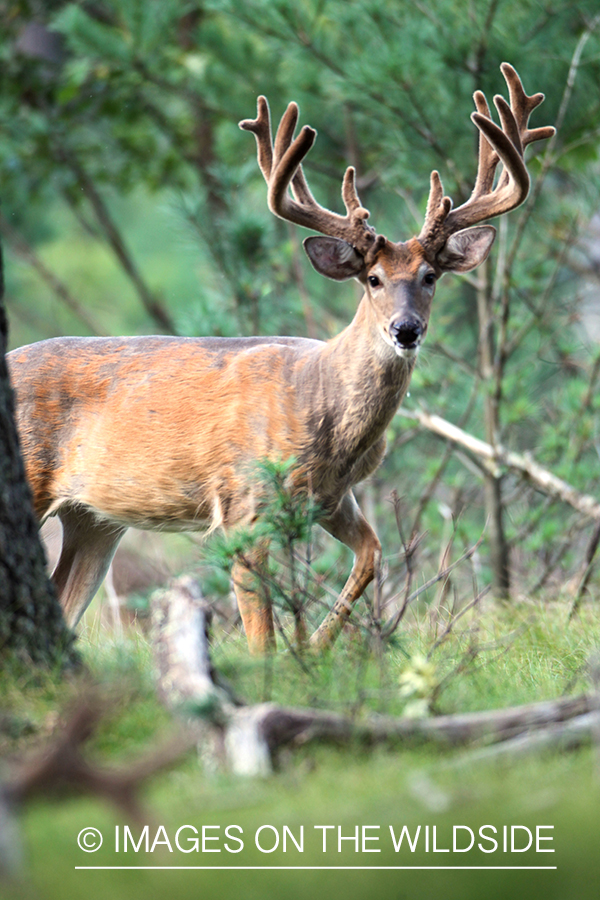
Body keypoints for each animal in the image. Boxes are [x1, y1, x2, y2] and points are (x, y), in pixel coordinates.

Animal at [9, 65, 552, 652]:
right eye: (373, 279)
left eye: (431, 276)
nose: (405, 330)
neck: (325, 408)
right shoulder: (243, 502)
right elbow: (261, 632)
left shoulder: (331, 497)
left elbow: (372, 555)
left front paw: (314, 647)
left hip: (95, 519)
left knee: (64, 604)